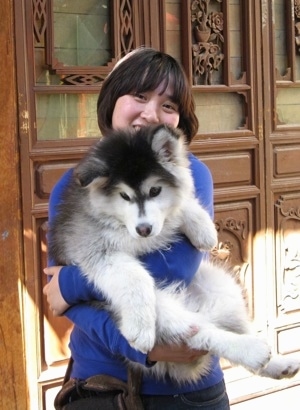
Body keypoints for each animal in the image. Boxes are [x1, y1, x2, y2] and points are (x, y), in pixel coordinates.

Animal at [48, 125, 298, 384]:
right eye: (124, 196)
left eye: (155, 190)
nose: (144, 229)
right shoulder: (97, 250)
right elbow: (135, 276)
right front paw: (140, 327)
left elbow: (180, 202)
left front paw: (203, 228)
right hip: (163, 308)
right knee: (201, 332)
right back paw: (252, 351)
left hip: (220, 284)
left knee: (226, 324)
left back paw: (278, 363)